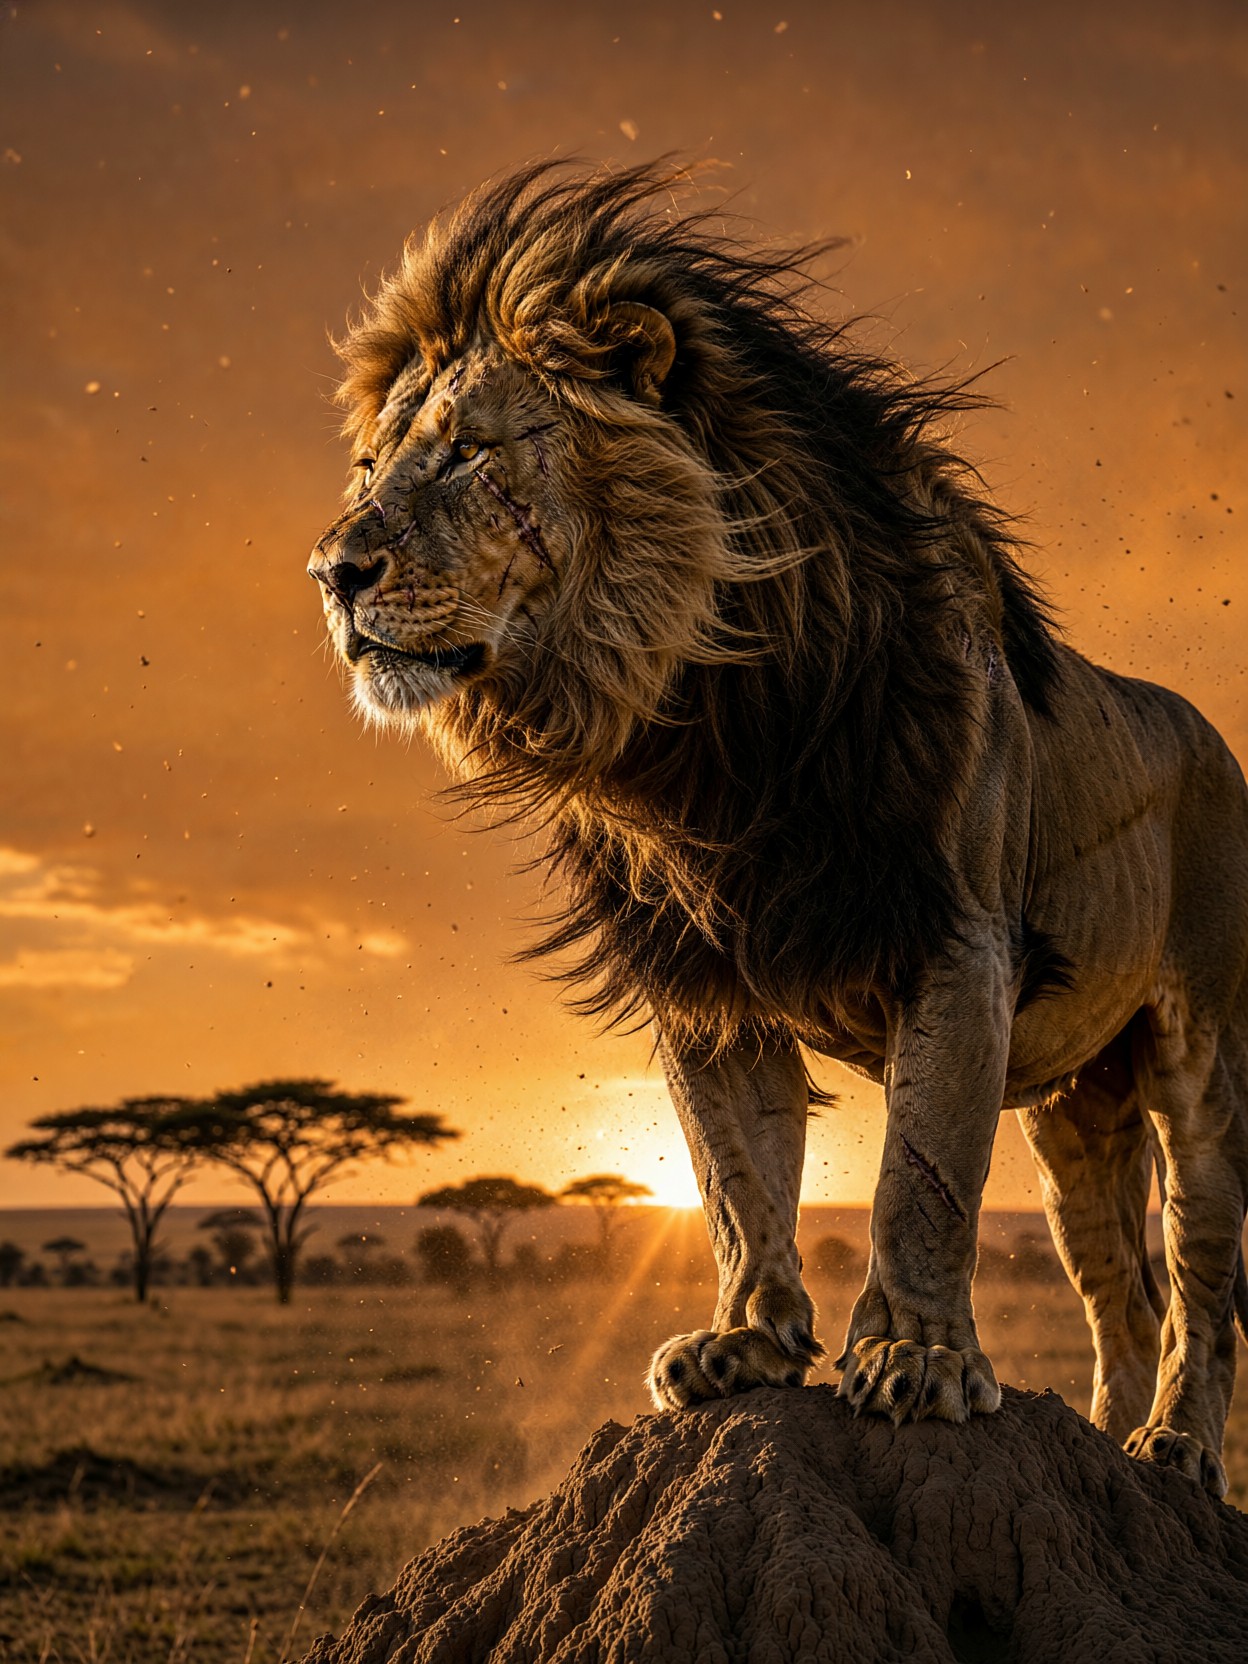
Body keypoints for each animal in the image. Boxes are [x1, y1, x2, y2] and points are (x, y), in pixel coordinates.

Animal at [309, 161, 1248, 1497]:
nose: (332, 570)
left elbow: (920, 1176)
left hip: (1197, 1050)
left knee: (1204, 1281)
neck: (705, 717)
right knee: (1120, 1281)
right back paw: (1106, 1442)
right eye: (373, 463)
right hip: (1076, 1106)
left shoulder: (959, 943)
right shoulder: (702, 977)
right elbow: (735, 1174)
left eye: (472, 450)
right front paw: (744, 1346)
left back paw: (1174, 1447)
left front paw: (915, 1362)